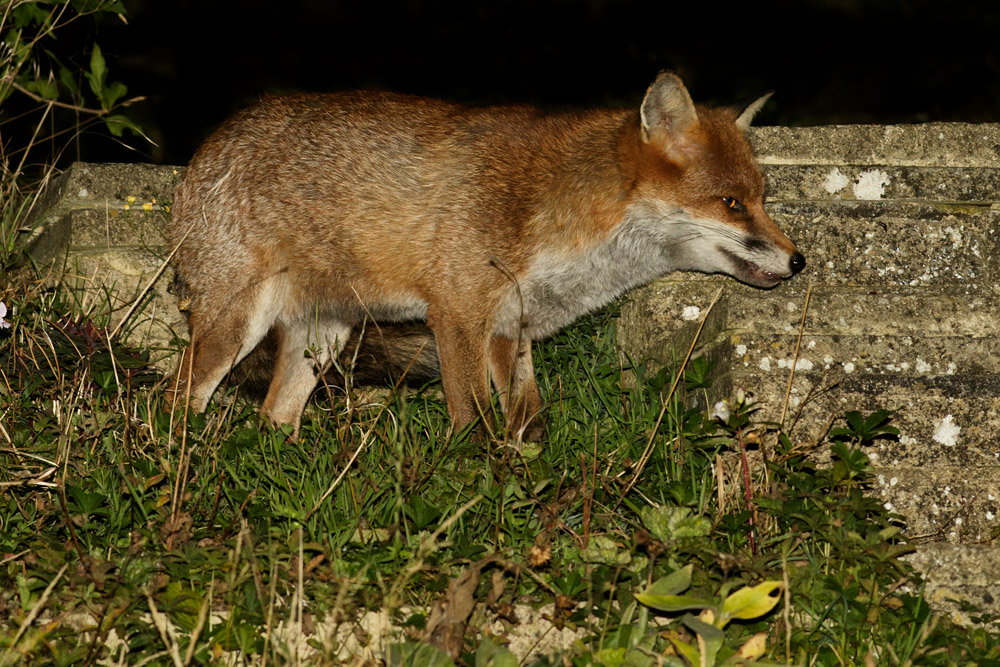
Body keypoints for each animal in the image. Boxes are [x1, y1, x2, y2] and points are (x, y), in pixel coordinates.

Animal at [166, 71, 805, 441]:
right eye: (731, 203)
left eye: (762, 198)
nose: (799, 260)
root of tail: (208, 147)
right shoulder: (458, 314)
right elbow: (471, 423)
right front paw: (473, 488)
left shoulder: (509, 331)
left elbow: (529, 425)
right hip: (236, 324)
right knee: (175, 397)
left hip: (321, 335)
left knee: (274, 417)